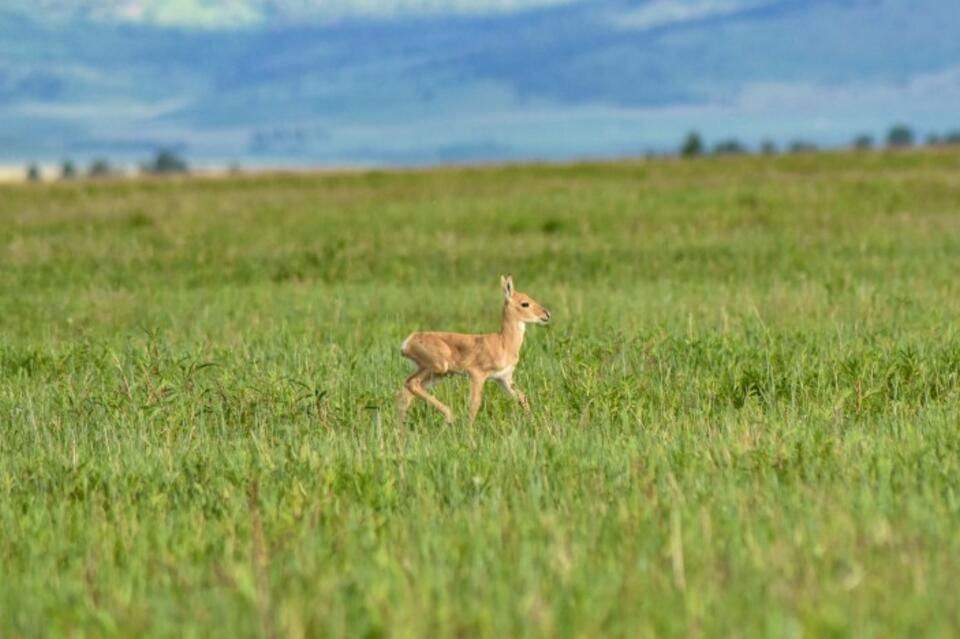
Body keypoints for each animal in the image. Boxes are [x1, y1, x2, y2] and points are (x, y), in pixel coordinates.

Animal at [396, 276, 548, 422]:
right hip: (439, 367)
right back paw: (450, 416)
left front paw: (533, 422)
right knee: (411, 385)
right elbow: (474, 404)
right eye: (525, 303)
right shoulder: (477, 375)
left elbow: (522, 398)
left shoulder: (503, 378)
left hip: (435, 373)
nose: (546, 314)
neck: (503, 342)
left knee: (405, 393)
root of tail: (408, 341)